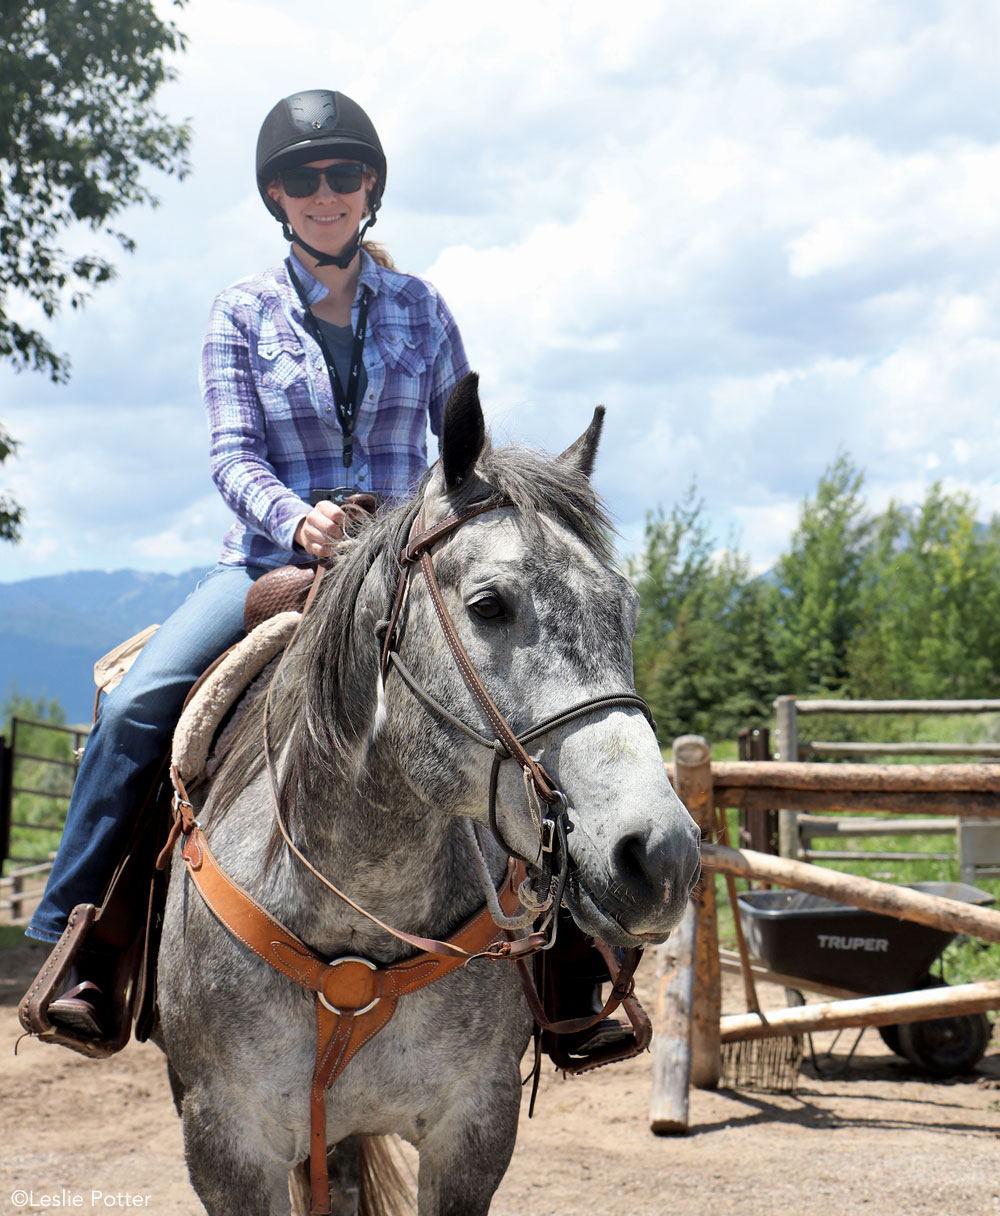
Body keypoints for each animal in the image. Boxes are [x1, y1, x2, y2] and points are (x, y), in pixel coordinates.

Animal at [158, 372, 705, 1216]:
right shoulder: (225, 1145)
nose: (662, 856)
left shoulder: (473, 1128)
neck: (357, 928)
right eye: (488, 605)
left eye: (625, 609)